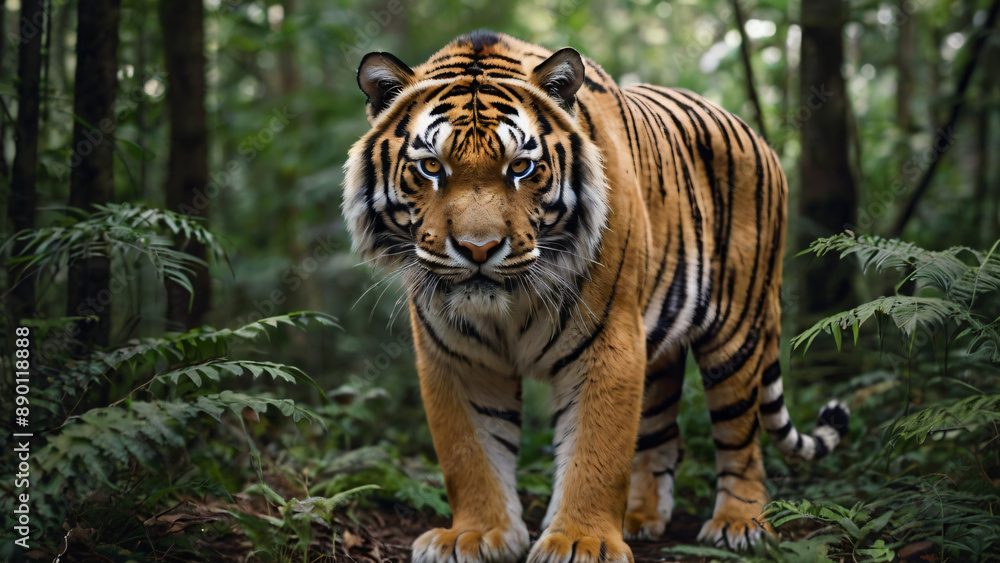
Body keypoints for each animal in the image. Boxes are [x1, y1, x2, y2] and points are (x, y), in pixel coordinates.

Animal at [342, 31, 850, 562]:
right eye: (431, 167)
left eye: (520, 167)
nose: (479, 249)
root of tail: (756, 135)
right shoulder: (456, 356)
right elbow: (469, 452)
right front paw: (476, 534)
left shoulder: (609, 340)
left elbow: (596, 450)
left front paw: (580, 541)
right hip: (660, 349)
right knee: (663, 435)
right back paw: (642, 518)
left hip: (737, 332)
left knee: (741, 437)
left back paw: (741, 524)